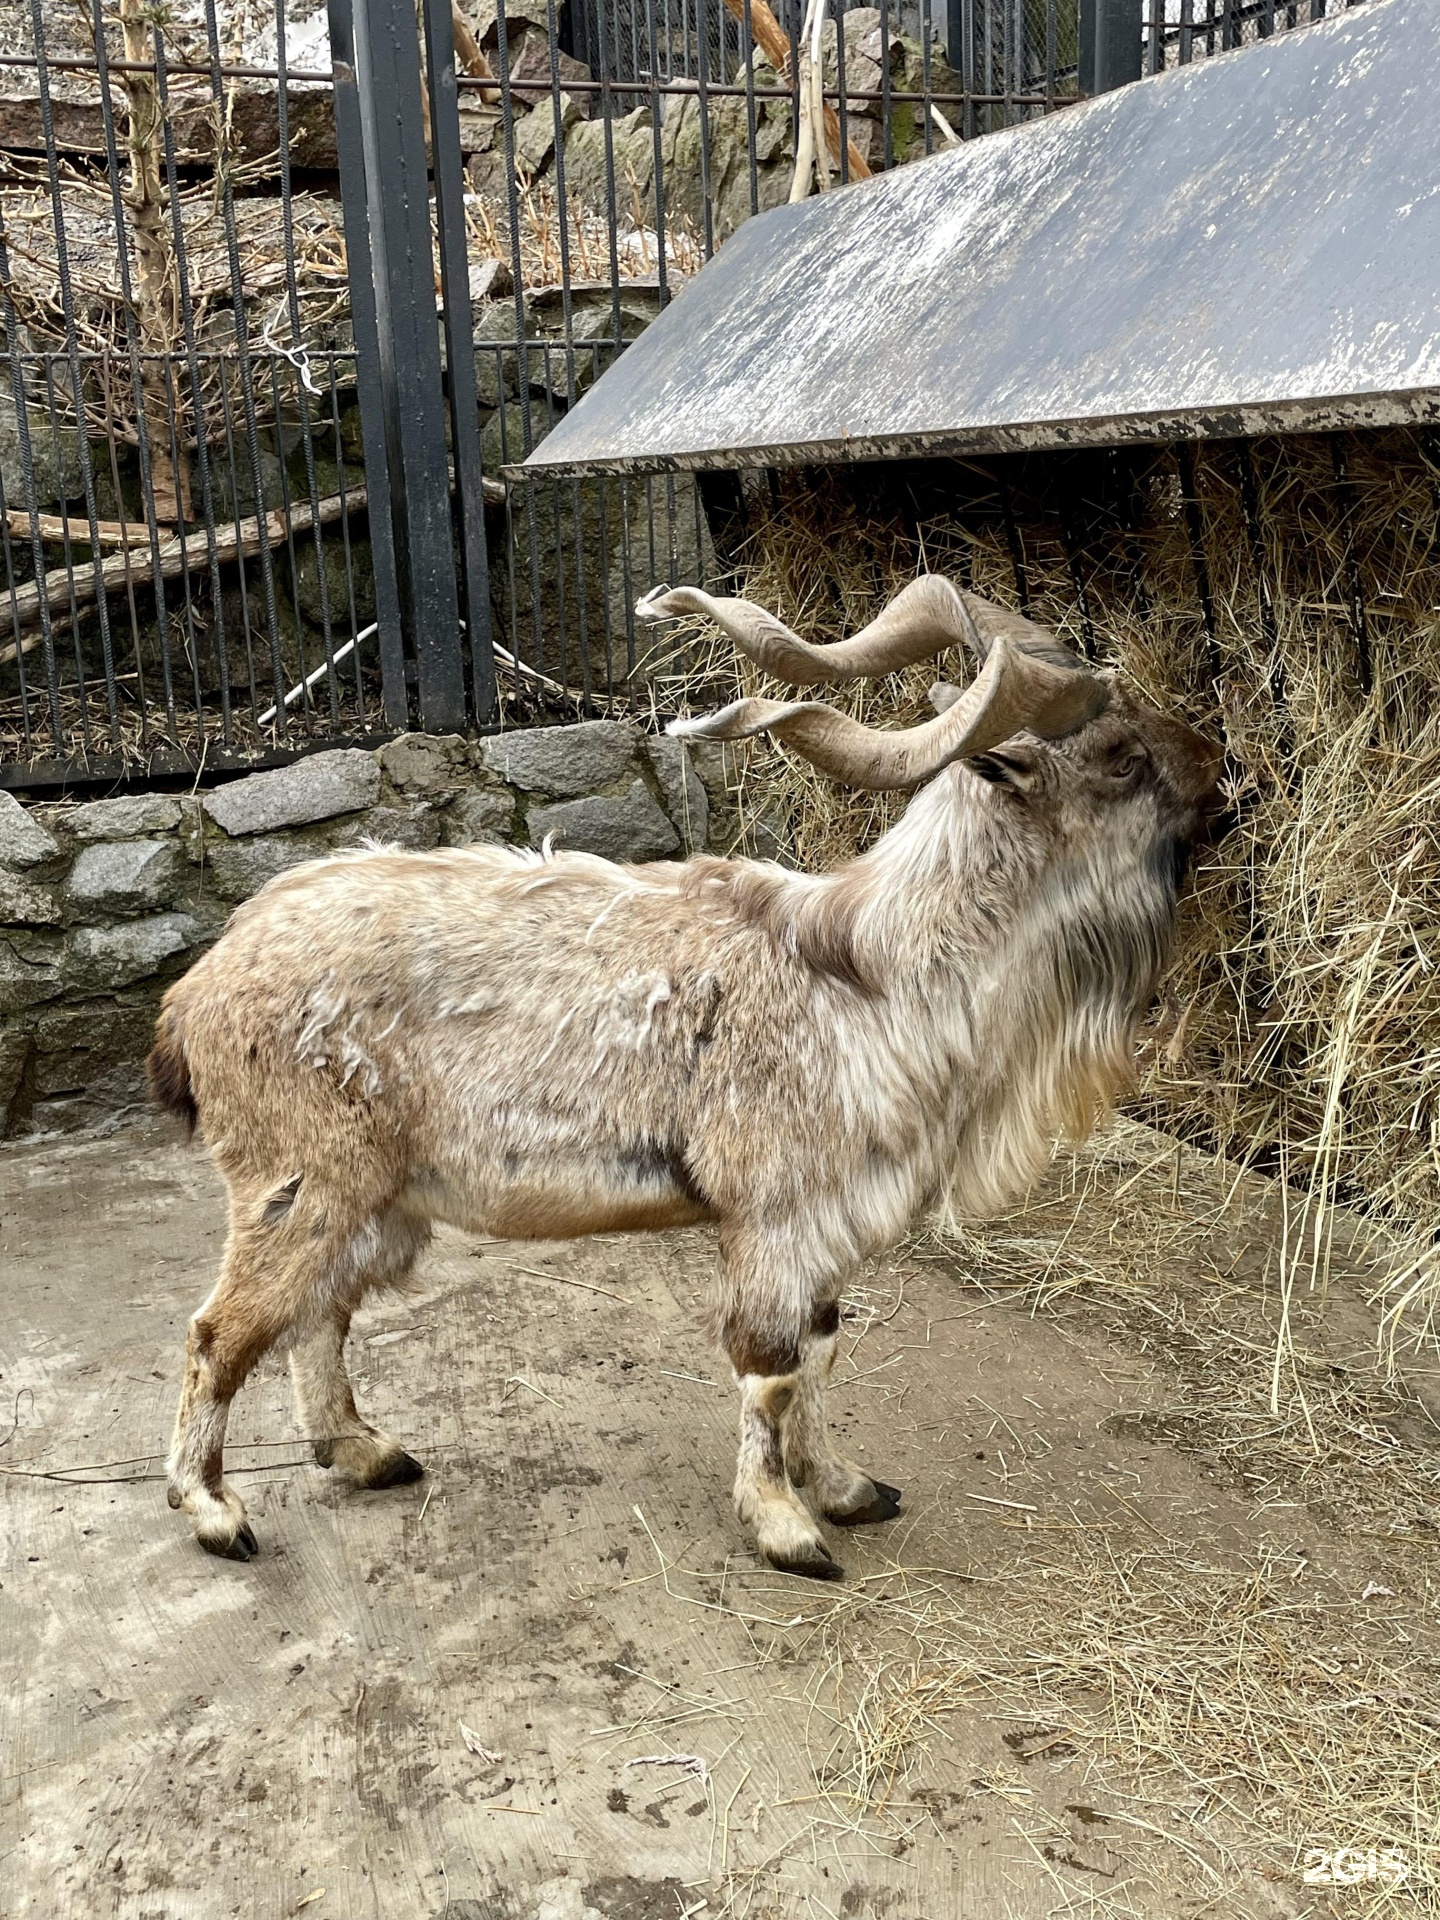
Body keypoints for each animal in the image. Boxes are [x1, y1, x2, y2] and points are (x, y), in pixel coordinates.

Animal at [152, 579, 1221, 1574]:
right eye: (1121, 757)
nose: (1223, 771)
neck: (872, 971)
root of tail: (198, 991)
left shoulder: (820, 1231)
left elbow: (823, 1347)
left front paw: (844, 1486)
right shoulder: (772, 1214)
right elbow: (771, 1366)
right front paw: (786, 1527)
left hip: (377, 1199)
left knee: (316, 1317)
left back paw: (367, 1451)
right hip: (299, 1183)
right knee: (219, 1332)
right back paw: (214, 1511)